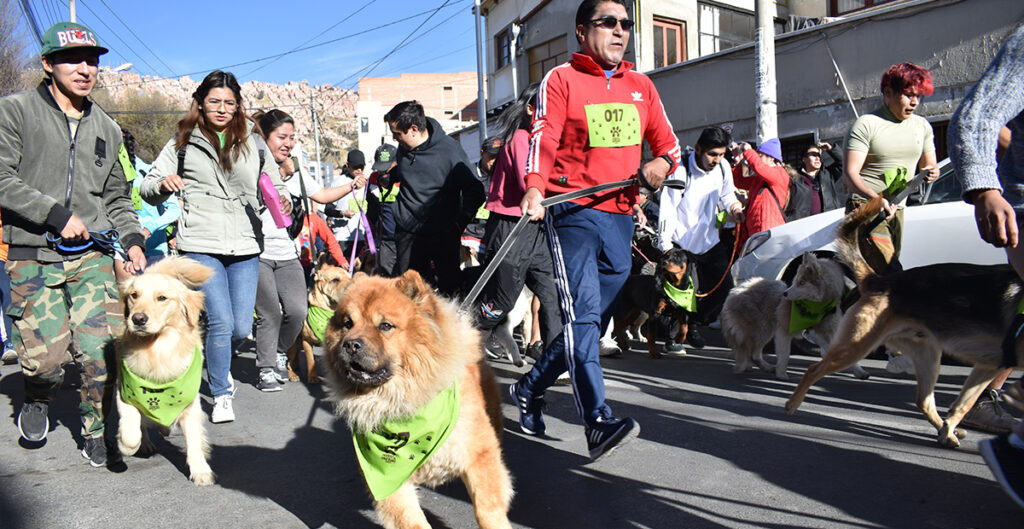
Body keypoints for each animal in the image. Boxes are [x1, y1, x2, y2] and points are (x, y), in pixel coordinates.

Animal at [116, 257, 216, 485]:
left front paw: (200, 470)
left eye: (162, 298)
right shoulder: (124, 392)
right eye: (134, 295)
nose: (138, 319)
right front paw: (126, 447)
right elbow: (131, 433)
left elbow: (194, 440)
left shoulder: (190, 402)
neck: (157, 351)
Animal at [325, 270, 512, 523]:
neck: (403, 403)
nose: (351, 344)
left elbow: (487, 508)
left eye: (385, 326)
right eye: (347, 323)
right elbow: (411, 519)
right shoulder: (388, 483)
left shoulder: (479, 456)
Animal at [716, 252, 868, 378]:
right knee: (753, 353)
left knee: (752, 353)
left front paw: (859, 372)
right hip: (763, 330)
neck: (817, 309)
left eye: (801, 283)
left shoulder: (826, 331)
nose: (785, 294)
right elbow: (785, 355)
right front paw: (782, 374)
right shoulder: (784, 331)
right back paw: (766, 367)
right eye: (795, 281)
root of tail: (735, 291)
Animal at [786, 195, 1019, 448]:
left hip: (926, 356)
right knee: (813, 370)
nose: (786, 293)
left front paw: (949, 430)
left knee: (924, 401)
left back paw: (945, 431)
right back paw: (792, 404)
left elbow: (962, 404)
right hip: (856, 346)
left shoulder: (988, 364)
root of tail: (878, 280)